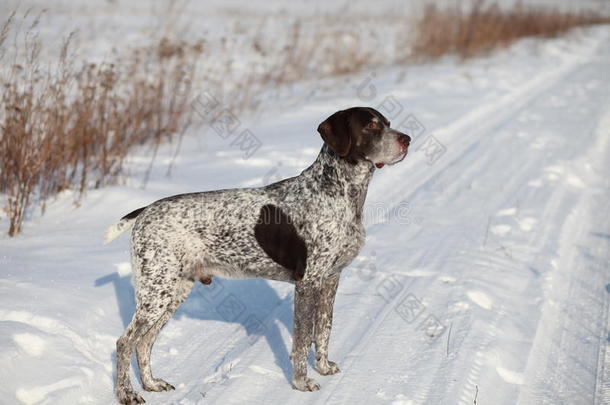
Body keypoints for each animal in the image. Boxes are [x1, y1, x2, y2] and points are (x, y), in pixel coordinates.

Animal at [105, 105, 408, 402]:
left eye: (387, 123)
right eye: (370, 126)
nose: (407, 139)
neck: (336, 192)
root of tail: (145, 211)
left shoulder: (330, 280)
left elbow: (323, 331)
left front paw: (323, 368)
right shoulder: (307, 284)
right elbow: (302, 340)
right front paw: (301, 383)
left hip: (172, 293)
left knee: (144, 342)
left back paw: (151, 384)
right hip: (156, 294)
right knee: (125, 342)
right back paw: (127, 394)